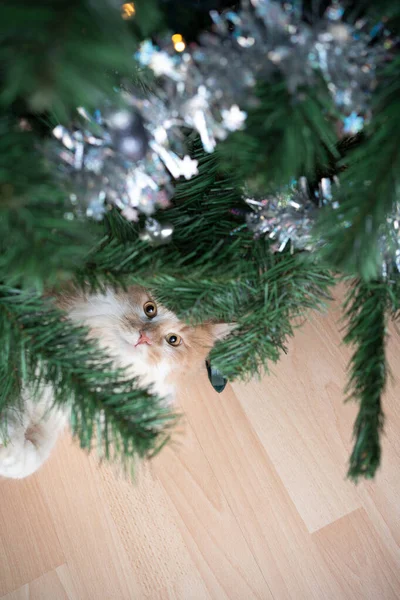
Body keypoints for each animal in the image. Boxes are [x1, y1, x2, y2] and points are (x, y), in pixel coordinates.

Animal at [0, 284, 228, 478]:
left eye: (173, 340)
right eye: (150, 309)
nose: (144, 337)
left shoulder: (56, 407)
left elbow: (32, 455)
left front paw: (7, 454)